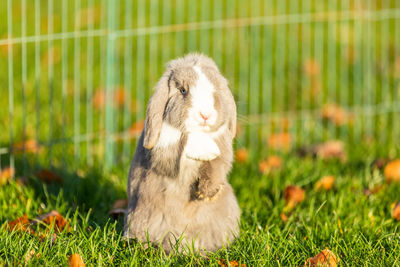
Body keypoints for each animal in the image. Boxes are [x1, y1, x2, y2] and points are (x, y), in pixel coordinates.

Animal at [123, 53, 239, 254]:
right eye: (183, 91)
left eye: (215, 90)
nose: (205, 115)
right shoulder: (163, 153)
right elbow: (178, 149)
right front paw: (200, 147)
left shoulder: (222, 153)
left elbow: (217, 167)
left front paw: (206, 192)